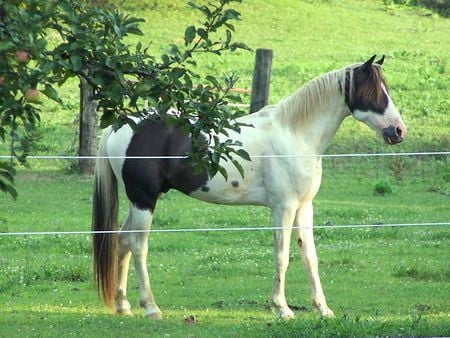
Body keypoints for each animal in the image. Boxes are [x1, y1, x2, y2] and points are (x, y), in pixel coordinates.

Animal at [92, 55, 408, 320]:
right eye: (376, 92)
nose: (399, 130)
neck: (295, 134)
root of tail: (123, 124)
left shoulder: (304, 207)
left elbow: (310, 257)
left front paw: (323, 309)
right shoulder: (283, 208)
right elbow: (281, 256)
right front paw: (282, 309)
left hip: (138, 201)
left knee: (122, 242)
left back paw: (123, 306)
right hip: (144, 199)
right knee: (138, 246)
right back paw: (151, 308)